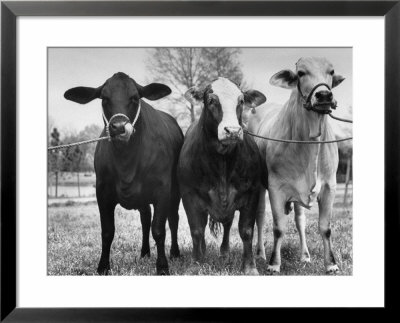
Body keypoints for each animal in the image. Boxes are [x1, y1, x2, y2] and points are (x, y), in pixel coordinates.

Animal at [65, 73, 184, 276]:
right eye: (104, 98)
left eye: (134, 98)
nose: (119, 127)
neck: (126, 162)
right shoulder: (102, 191)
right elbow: (107, 231)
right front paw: (103, 266)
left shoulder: (163, 189)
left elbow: (159, 229)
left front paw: (162, 267)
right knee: (145, 219)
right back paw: (144, 253)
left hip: (175, 191)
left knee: (173, 219)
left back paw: (175, 253)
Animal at [177, 76, 266, 276]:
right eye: (211, 100)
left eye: (241, 101)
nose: (232, 130)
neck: (222, 161)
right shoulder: (189, 195)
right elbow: (196, 230)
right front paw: (195, 264)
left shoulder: (252, 193)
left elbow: (246, 231)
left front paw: (249, 267)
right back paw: (202, 252)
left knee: (227, 225)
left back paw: (224, 253)